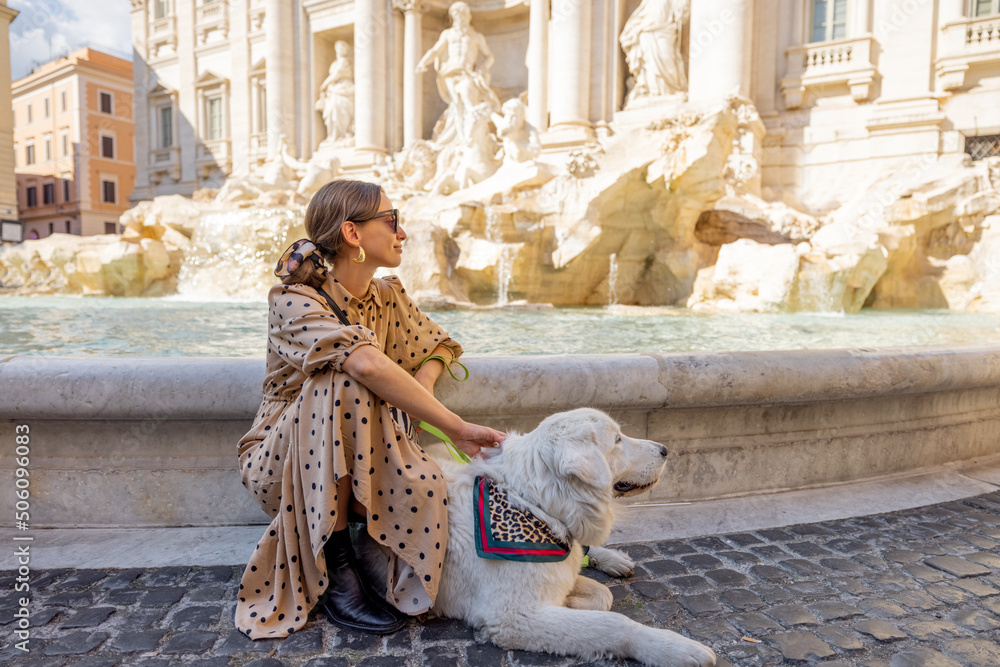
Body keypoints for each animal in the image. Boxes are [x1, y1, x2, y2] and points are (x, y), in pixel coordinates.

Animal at [364, 410, 716, 664]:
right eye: (617, 440)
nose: (665, 449)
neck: (534, 504)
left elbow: (601, 594)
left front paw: (574, 598)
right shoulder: (513, 616)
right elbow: (613, 622)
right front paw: (674, 648)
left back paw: (612, 558)